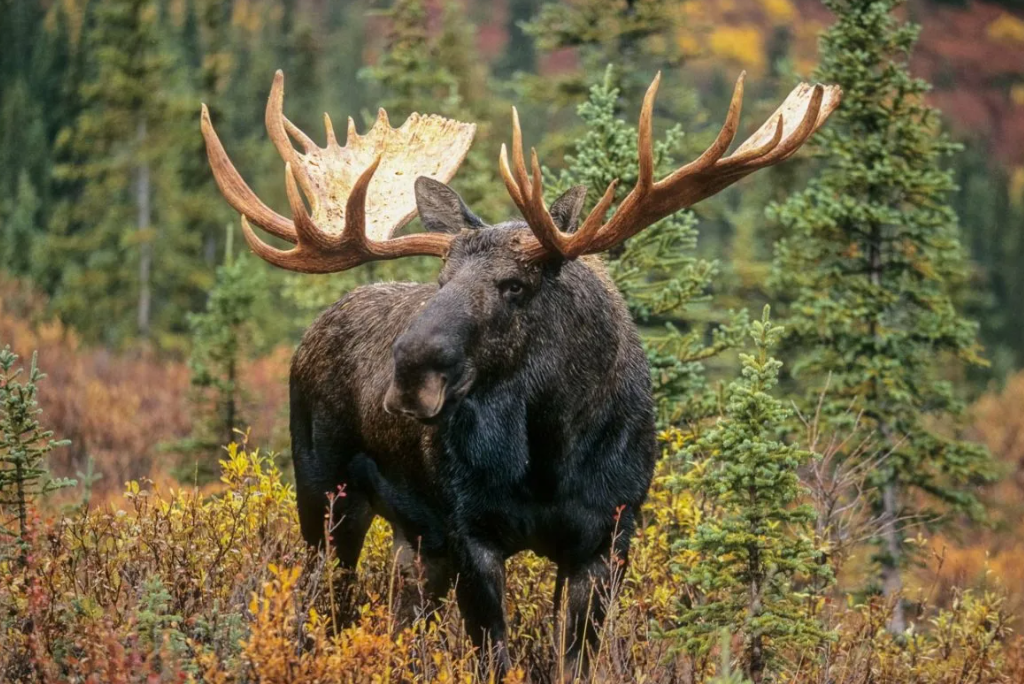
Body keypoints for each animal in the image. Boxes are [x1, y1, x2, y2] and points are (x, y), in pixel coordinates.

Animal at [199, 70, 839, 671]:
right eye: (441, 279)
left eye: (515, 285)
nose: (407, 375)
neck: (550, 451)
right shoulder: (471, 534)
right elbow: (495, 658)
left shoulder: (608, 537)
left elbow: (573, 660)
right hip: (325, 494)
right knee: (320, 609)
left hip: (416, 538)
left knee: (399, 620)